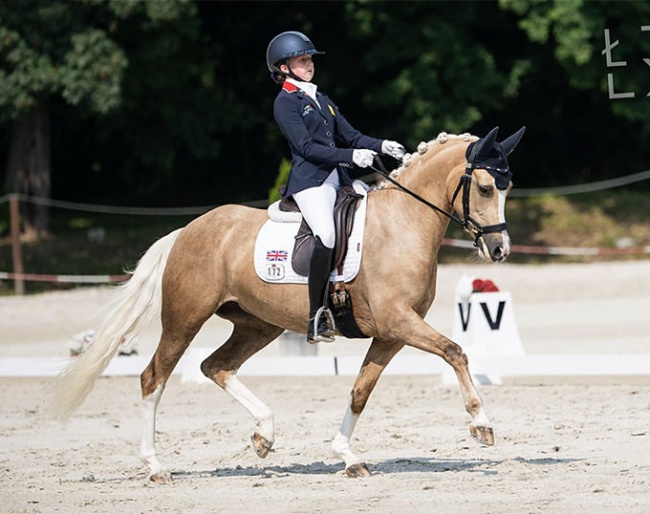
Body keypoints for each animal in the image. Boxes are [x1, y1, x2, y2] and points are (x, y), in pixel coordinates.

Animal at [53, 126, 525, 482]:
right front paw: (481, 425)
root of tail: (187, 230)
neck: (401, 225)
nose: (500, 249)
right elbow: (455, 351)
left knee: (216, 366)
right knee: (154, 377)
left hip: (258, 324)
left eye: (508, 188)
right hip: (185, 319)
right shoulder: (399, 322)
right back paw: (156, 466)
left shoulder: (391, 333)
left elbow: (360, 391)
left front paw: (347, 456)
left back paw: (264, 433)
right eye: (486, 188)